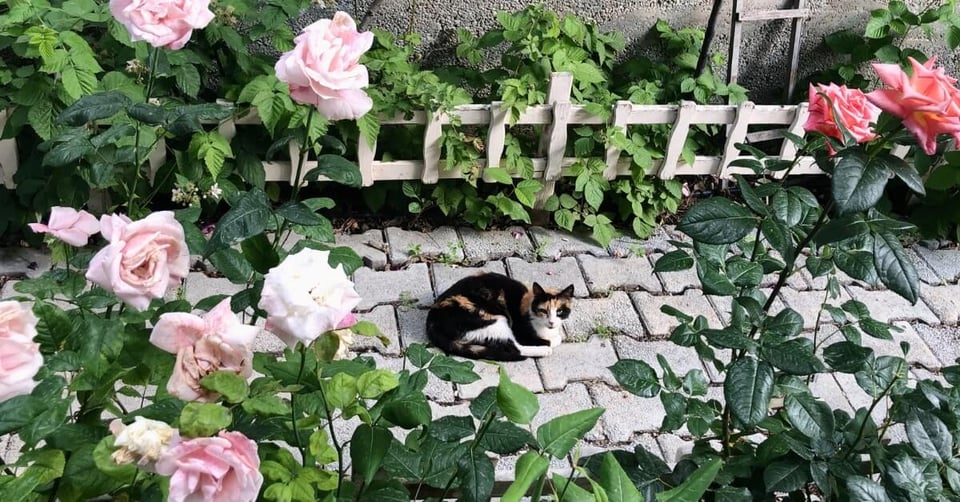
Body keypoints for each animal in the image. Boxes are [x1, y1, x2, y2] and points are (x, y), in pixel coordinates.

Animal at [426, 272, 572, 362]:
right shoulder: (522, 333)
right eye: (543, 310)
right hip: (496, 320)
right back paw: (544, 351)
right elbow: (553, 339)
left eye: (560, 311)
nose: (552, 322)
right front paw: (553, 340)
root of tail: (432, 317)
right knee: (515, 349)